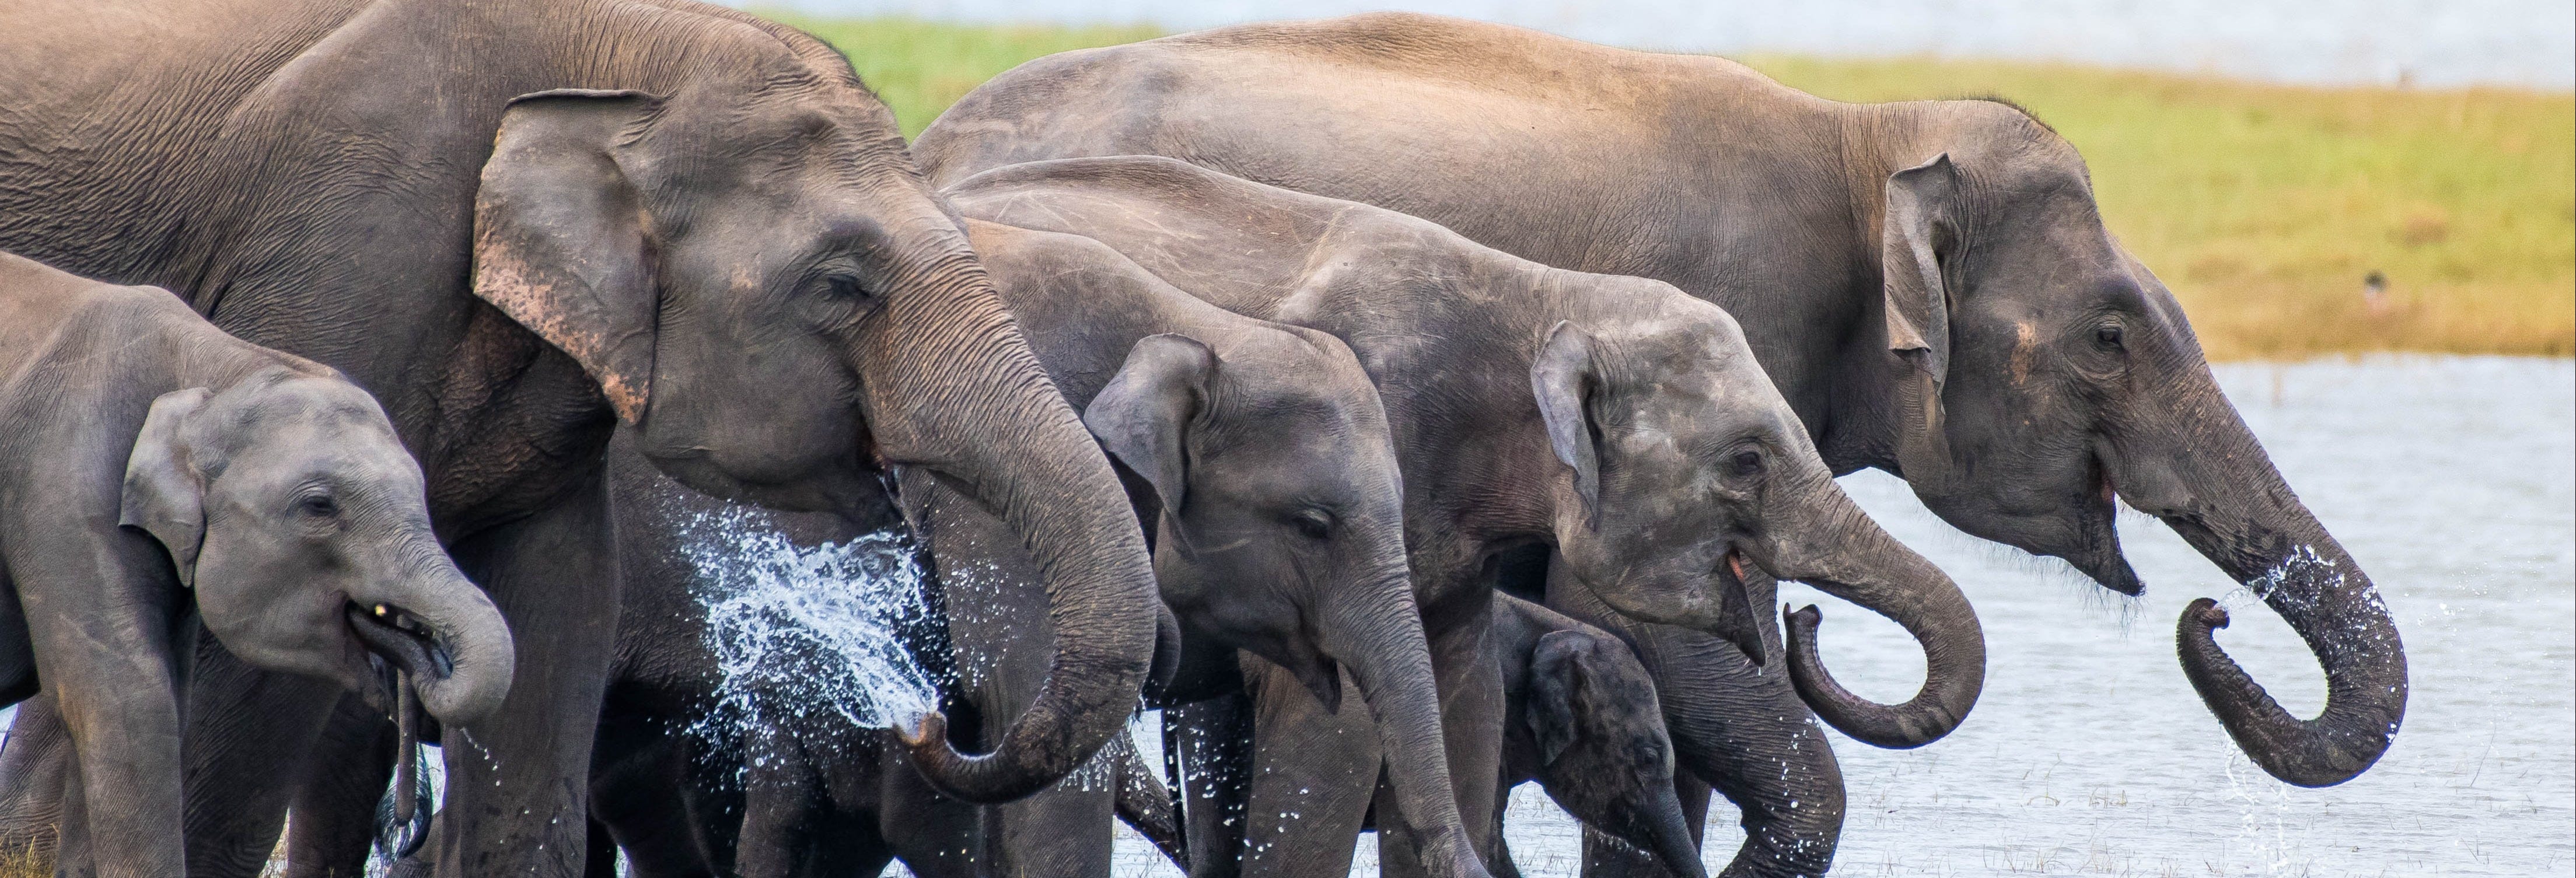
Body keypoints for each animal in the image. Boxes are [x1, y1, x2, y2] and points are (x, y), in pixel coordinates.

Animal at [0, 251, 512, 870]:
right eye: (319, 506)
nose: (405, 823)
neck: (219, 365)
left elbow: (164, 695)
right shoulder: (61, 480)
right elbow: (125, 696)